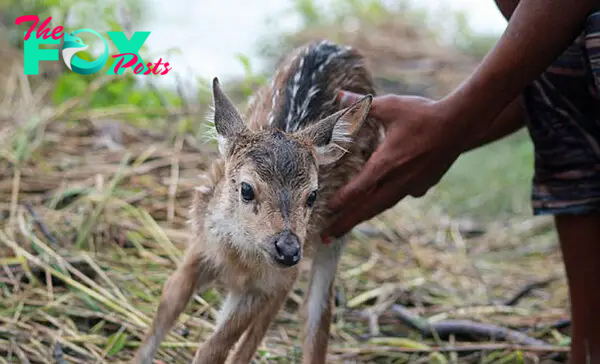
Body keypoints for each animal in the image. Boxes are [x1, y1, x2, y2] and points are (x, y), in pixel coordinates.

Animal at [134, 39, 382, 364]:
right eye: (247, 189)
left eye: (313, 195)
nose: (287, 248)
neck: (239, 256)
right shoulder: (200, 246)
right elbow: (166, 307)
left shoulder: (261, 284)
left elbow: (213, 348)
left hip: (338, 227)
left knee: (315, 311)